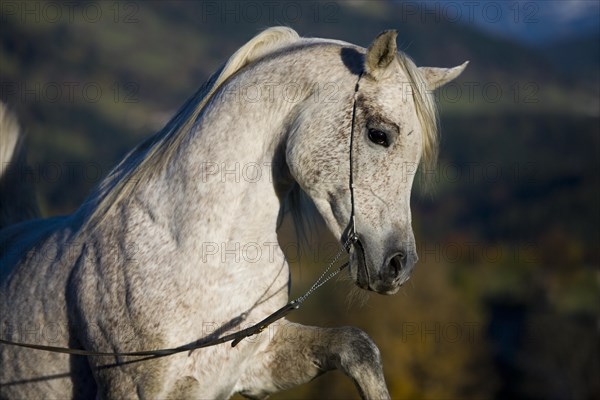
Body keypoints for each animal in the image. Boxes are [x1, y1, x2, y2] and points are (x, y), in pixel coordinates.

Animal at [0, 27, 466, 396]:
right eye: (379, 135)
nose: (399, 265)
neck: (204, 252)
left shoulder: (256, 366)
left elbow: (357, 347)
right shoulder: (135, 388)